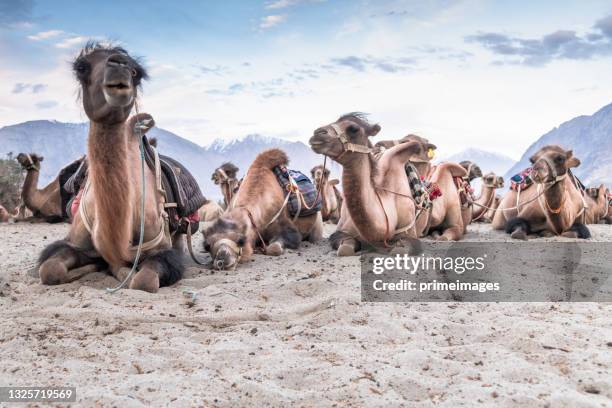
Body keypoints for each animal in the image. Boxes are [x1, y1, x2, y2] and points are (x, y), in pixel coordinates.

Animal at [37, 43, 189, 292]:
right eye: (82, 67)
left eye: (136, 72)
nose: (119, 65)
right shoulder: (76, 242)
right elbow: (50, 269)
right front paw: (94, 267)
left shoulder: (161, 249)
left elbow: (144, 281)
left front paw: (118, 271)